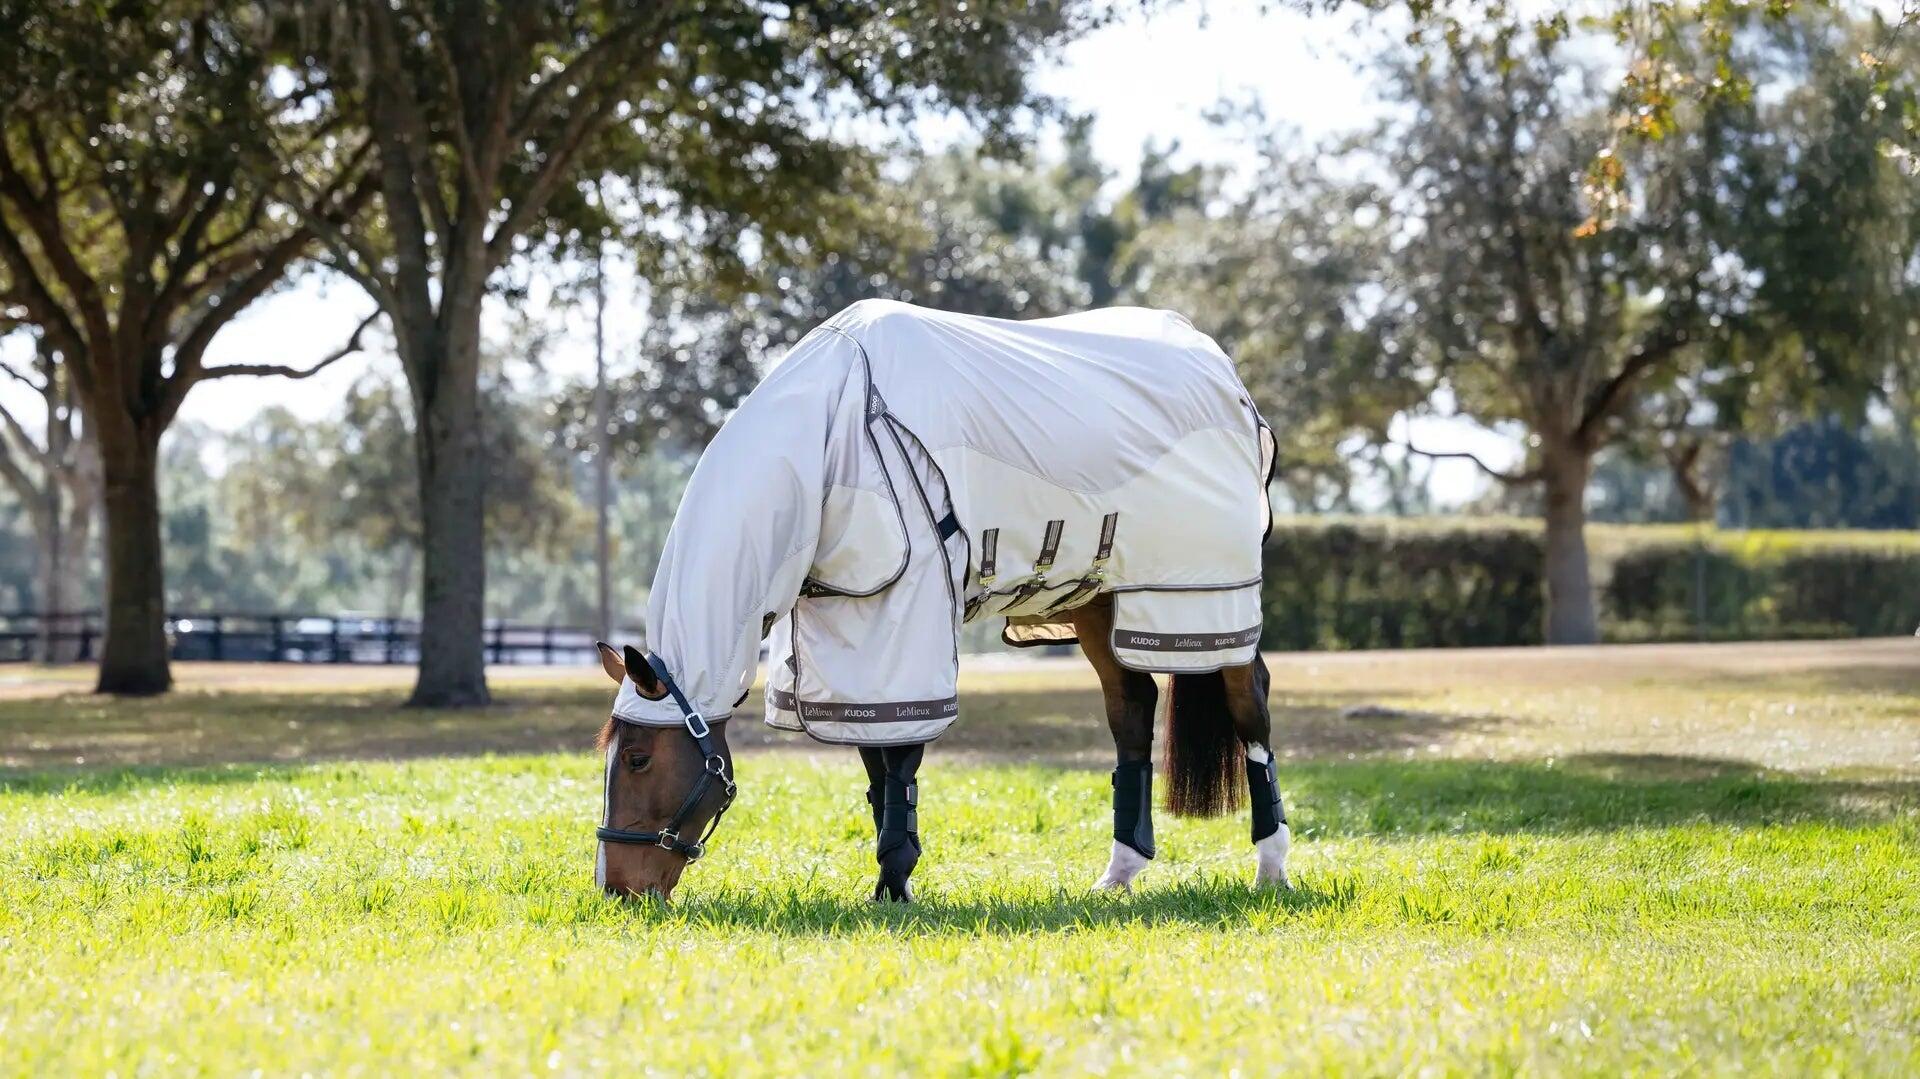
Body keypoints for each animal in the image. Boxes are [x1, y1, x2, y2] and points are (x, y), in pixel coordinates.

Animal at [591, 300, 1287, 902]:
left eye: (639, 758)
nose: (618, 889)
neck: (834, 432)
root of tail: (1226, 376)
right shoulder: (851, 641)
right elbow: (876, 769)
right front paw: (888, 881)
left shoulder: (909, 620)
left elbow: (900, 763)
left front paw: (895, 884)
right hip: (1098, 605)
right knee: (1133, 712)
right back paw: (1119, 873)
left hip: (1201, 604)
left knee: (1248, 704)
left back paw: (1271, 868)